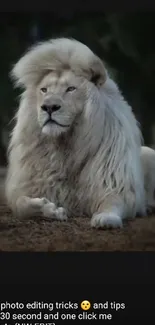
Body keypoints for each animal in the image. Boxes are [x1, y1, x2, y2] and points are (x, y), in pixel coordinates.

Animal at [4, 37, 148, 228]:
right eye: (44, 90)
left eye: (70, 89)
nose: (49, 107)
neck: (66, 146)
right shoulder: (31, 185)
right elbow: (20, 205)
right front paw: (49, 209)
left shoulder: (116, 186)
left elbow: (112, 202)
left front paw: (105, 219)